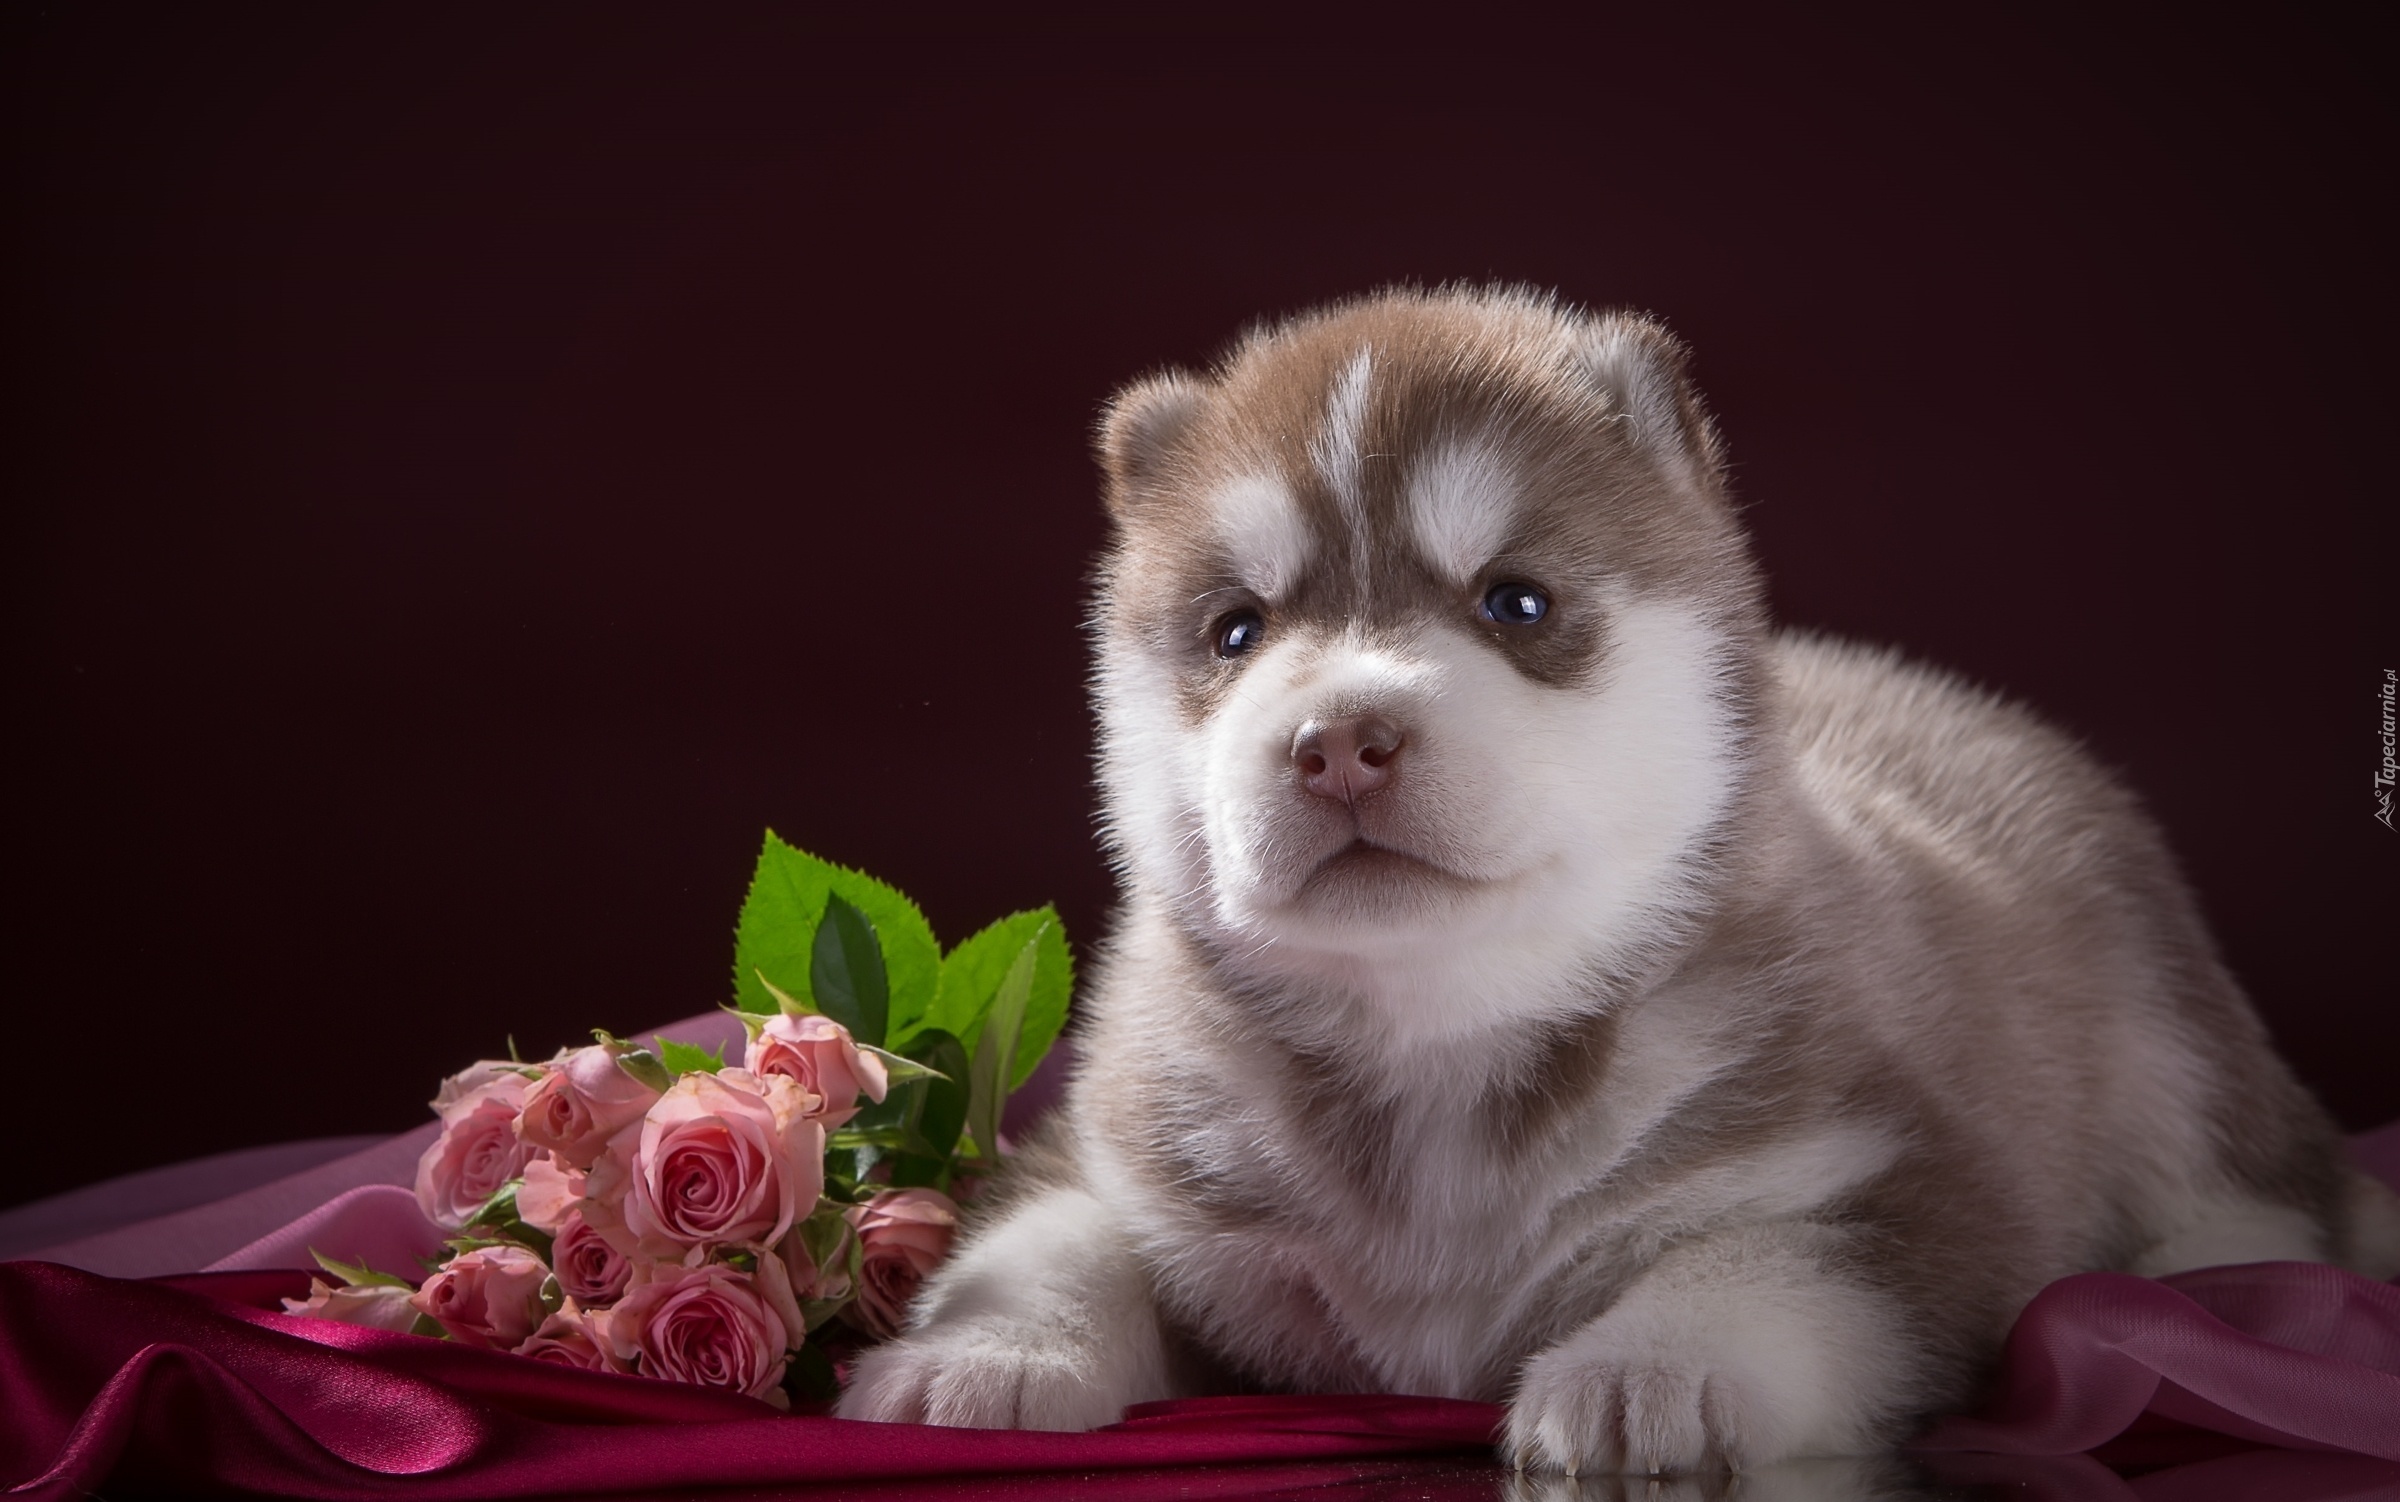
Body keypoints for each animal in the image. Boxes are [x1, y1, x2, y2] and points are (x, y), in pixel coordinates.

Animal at [840, 286, 2380, 1468]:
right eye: (1235, 629)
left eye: (1515, 602)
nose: (1338, 741)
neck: (1438, 1046)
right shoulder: (1125, 1140)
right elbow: (1054, 1226)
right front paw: (985, 1348)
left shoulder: (1902, 1174)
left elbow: (1777, 1259)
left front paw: (1651, 1365)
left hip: (2158, 1005)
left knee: (2255, 1165)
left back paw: (2221, 1274)